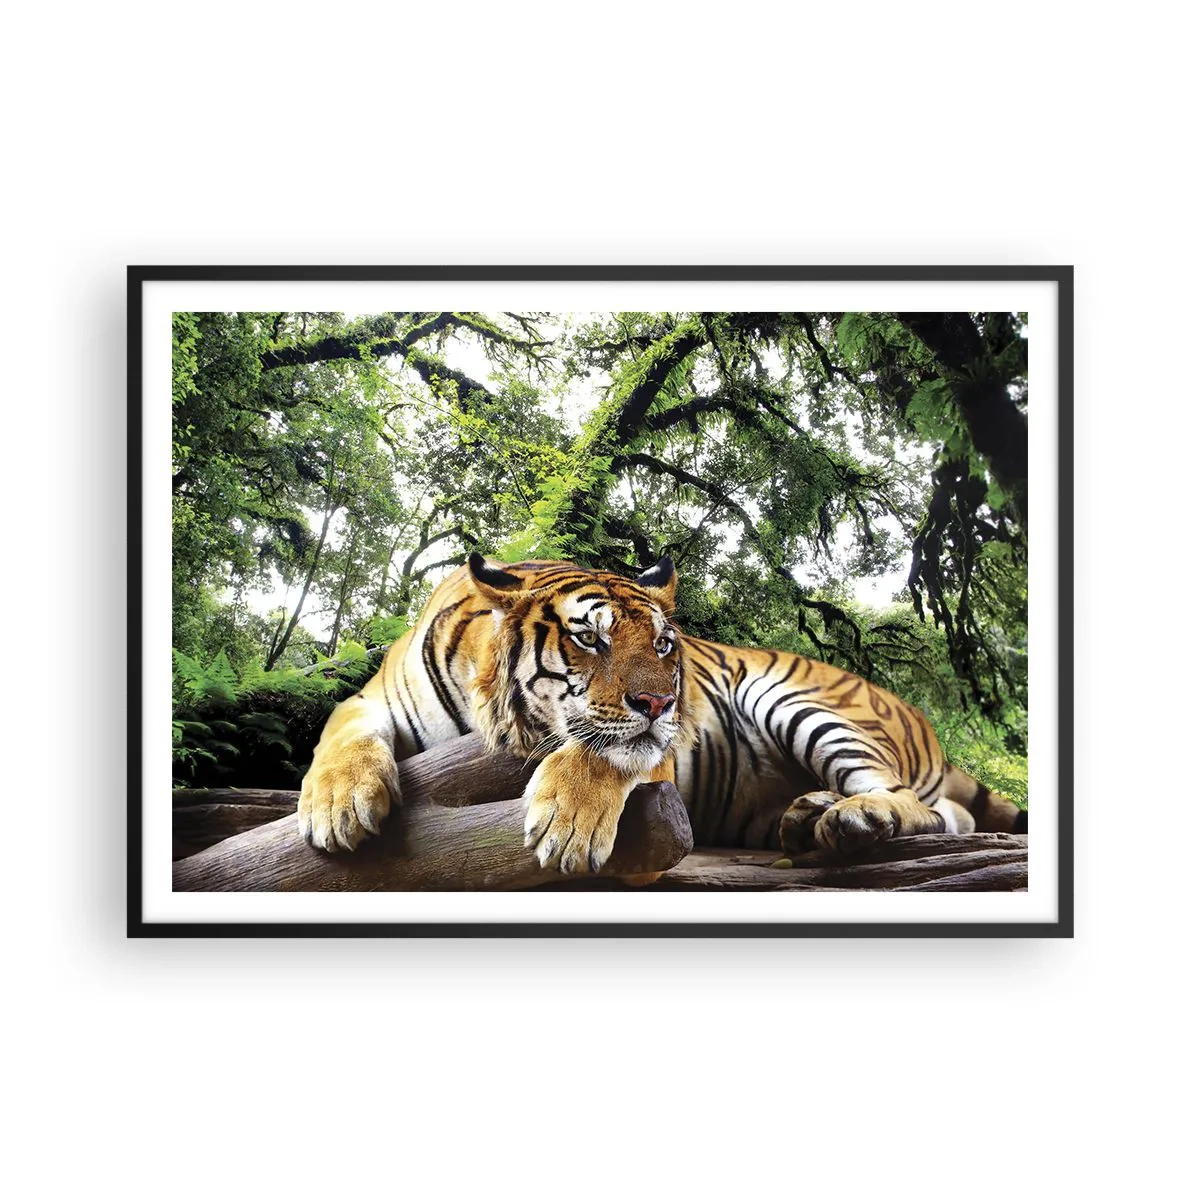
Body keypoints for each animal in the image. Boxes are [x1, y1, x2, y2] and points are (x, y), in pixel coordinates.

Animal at [298, 554, 1025, 873]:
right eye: (589, 638)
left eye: (664, 645)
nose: (662, 702)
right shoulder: (369, 699)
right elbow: (341, 736)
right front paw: (338, 806)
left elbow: (606, 751)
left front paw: (566, 826)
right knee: (949, 815)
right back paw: (808, 814)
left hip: (801, 702)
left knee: (917, 805)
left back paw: (853, 818)